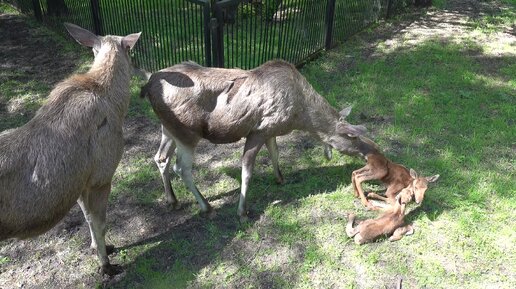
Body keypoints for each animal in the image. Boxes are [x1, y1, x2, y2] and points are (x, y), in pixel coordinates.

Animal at [0, 23, 141, 274]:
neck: (117, 105)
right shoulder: (101, 176)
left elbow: (87, 218)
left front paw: (100, 248)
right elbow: (99, 223)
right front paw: (106, 265)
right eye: (130, 51)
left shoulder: (81, 182)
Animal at [139, 59, 368, 219]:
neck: (299, 117)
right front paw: (242, 210)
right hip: (187, 134)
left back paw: (172, 200)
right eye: (353, 137)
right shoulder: (258, 131)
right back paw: (206, 207)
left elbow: (275, 154)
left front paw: (281, 178)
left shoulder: (270, 131)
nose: (367, 154)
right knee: (181, 168)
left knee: (160, 158)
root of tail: (147, 86)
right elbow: (247, 171)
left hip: (167, 129)